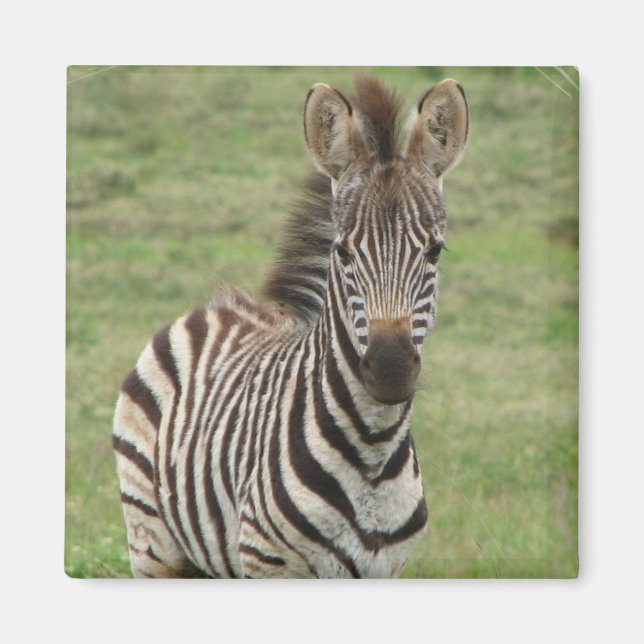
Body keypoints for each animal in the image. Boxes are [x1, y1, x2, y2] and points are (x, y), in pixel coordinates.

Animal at [112, 75, 469, 578]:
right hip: (152, 542)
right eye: (342, 251)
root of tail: (217, 305)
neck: (373, 452)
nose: (391, 369)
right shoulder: (270, 563)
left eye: (435, 251)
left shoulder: (387, 568)